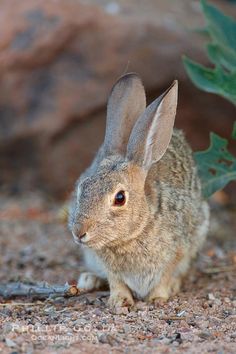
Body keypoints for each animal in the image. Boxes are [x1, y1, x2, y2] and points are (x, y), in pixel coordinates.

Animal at [68, 73, 208, 308]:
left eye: (120, 198)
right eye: (82, 187)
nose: (79, 232)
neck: (132, 235)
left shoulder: (178, 251)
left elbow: (165, 276)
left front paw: (158, 297)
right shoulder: (106, 262)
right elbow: (115, 280)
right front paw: (119, 301)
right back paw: (89, 279)